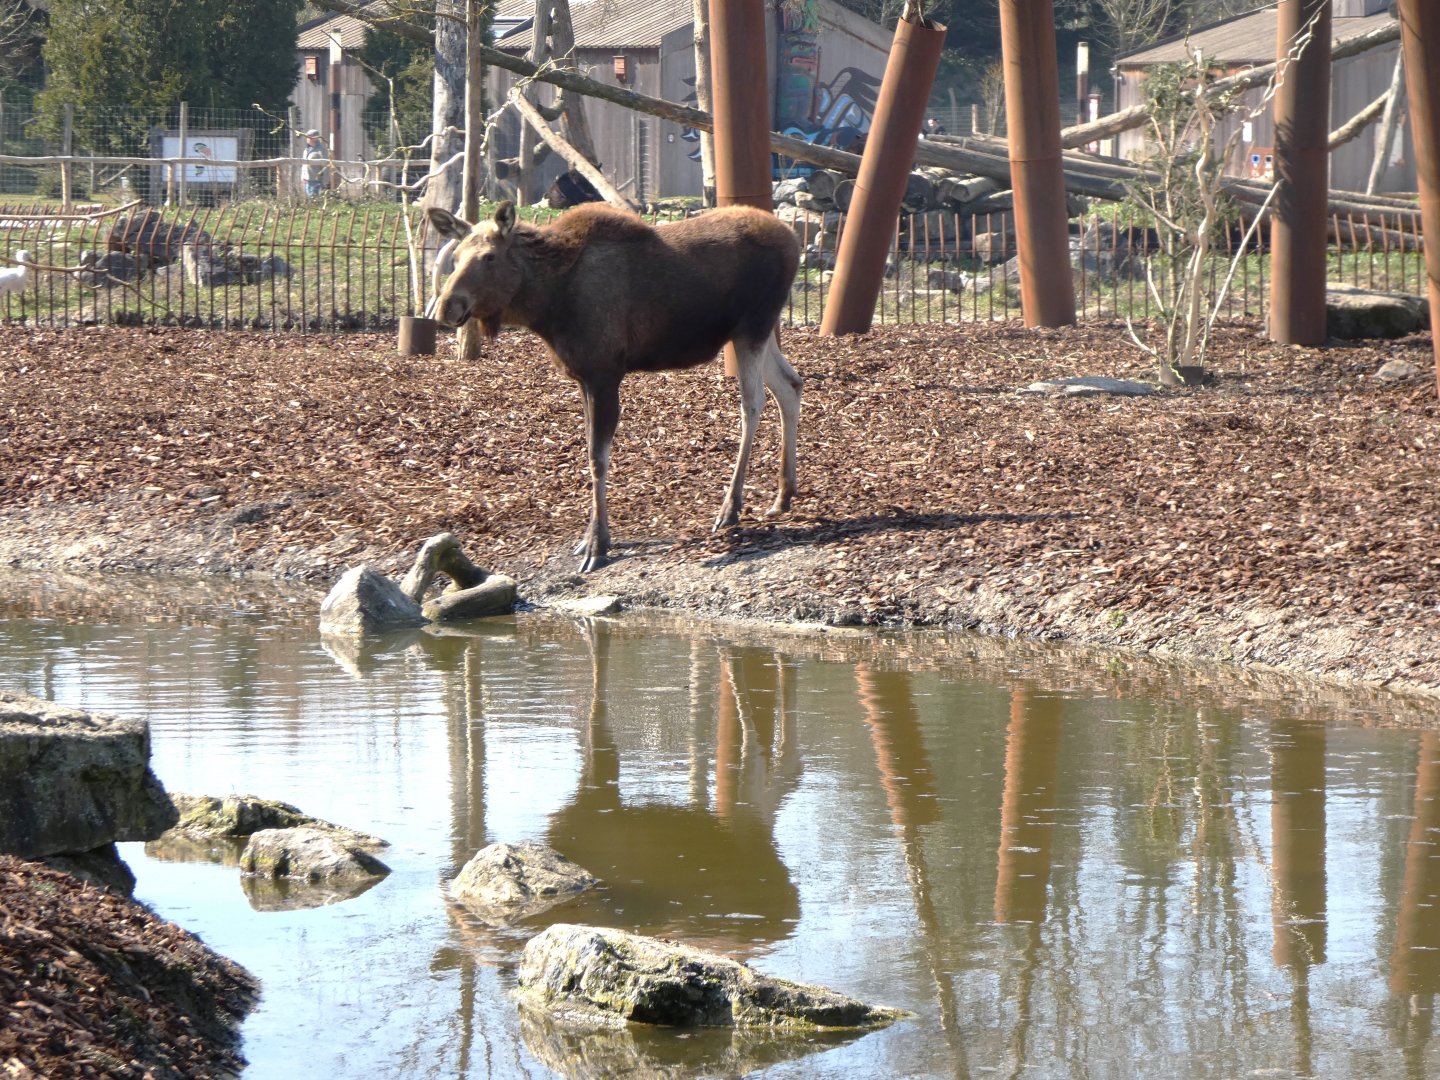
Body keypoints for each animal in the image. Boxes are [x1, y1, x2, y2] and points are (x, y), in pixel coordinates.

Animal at [427, 201, 802, 573]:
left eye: (489, 256)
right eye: (455, 255)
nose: (446, 306)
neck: (547, 304)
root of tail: (793, 239)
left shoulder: (604, 373)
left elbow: (597, 458)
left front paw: (598, 543)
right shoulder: (583, 377)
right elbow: (590, 452)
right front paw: (589, 539)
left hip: (752, 325)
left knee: (752, 403)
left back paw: (731, 507)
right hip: (757, 331)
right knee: (790, 385)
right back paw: (783, 495)